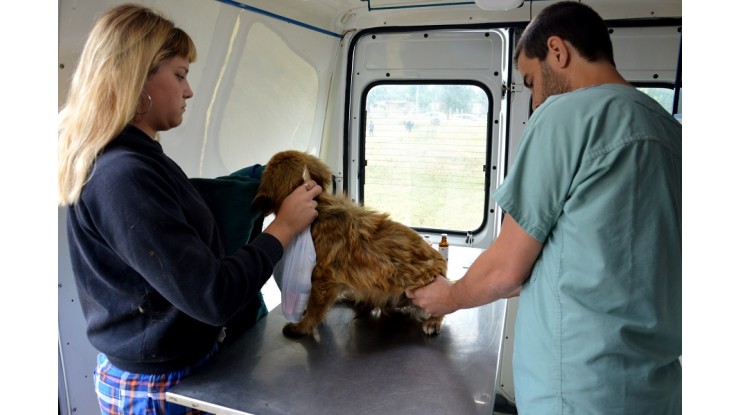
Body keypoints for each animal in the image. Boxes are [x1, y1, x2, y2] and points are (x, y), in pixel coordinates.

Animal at [254, 150, 446, 338]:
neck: (320, 206)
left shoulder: (322, 279)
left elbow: (315, 308)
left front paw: (302, 327)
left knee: (439, 309)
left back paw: (433, 321)